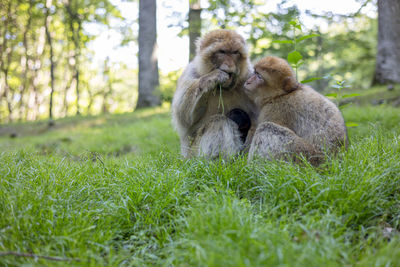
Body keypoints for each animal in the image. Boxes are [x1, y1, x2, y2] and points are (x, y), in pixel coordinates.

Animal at [172, 28, 256, 159]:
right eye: (222, 51)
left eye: (235, 52)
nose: (230, 65)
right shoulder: (190, 73)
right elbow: (183, 118)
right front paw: (213, 77)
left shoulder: (249, 78)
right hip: (192, 154)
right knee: (218, 121)